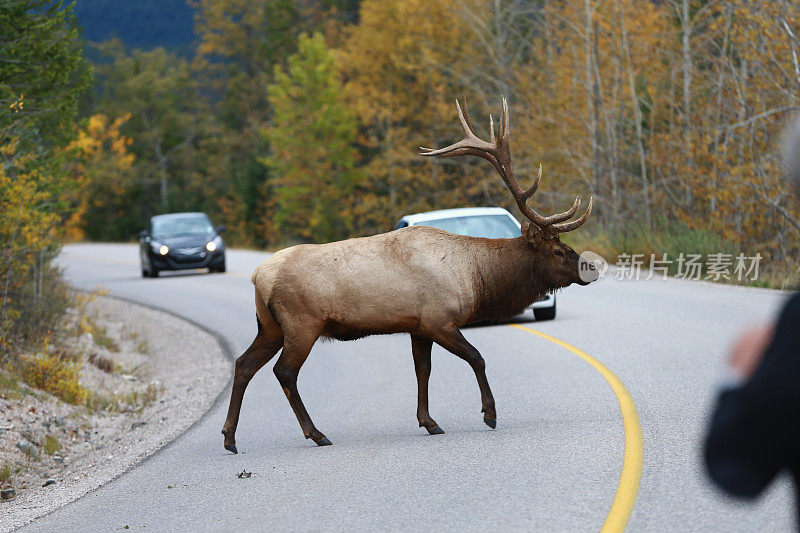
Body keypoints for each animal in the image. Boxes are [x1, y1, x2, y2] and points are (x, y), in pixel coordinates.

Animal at [219, 96, 592, 454]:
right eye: (558, 251)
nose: (591, 266)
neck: (475, 278)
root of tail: (258, 276)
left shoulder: (418, 326)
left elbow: (422, 371)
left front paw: (429, 421)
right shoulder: (440, 319)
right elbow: (477, 357)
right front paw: (490, 414)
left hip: (269, 326)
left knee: (243, 364)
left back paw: (230, 437)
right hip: (302, 323)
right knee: (284, 372)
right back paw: (316, 434)